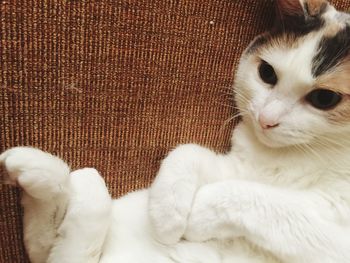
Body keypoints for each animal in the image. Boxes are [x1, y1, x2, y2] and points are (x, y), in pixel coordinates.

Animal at [2, 0, 350, 262]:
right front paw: (167, 212)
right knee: (53, 244)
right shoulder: (235, 166)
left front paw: (197, 217)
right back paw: (37, 173)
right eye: (267, 73)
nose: (267, 119)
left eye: (324, 98)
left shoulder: (334, 231)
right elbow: (189, 152)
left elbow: (257, 198)